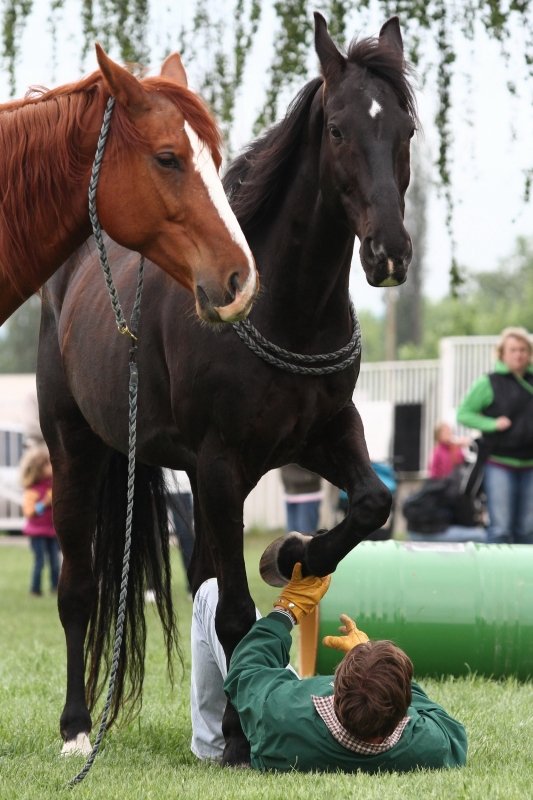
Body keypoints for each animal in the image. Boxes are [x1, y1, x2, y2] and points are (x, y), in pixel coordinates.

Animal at [39, 10, 418, 764]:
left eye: (407, 129)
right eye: (337, 128)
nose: (388, 252)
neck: (281, 306)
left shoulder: (327, 433)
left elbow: (371, 502)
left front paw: (294, 553)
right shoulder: (219, 464)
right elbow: (237, 611)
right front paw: (243, 738)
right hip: (75, 450)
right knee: (79, 589)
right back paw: (75, 729)